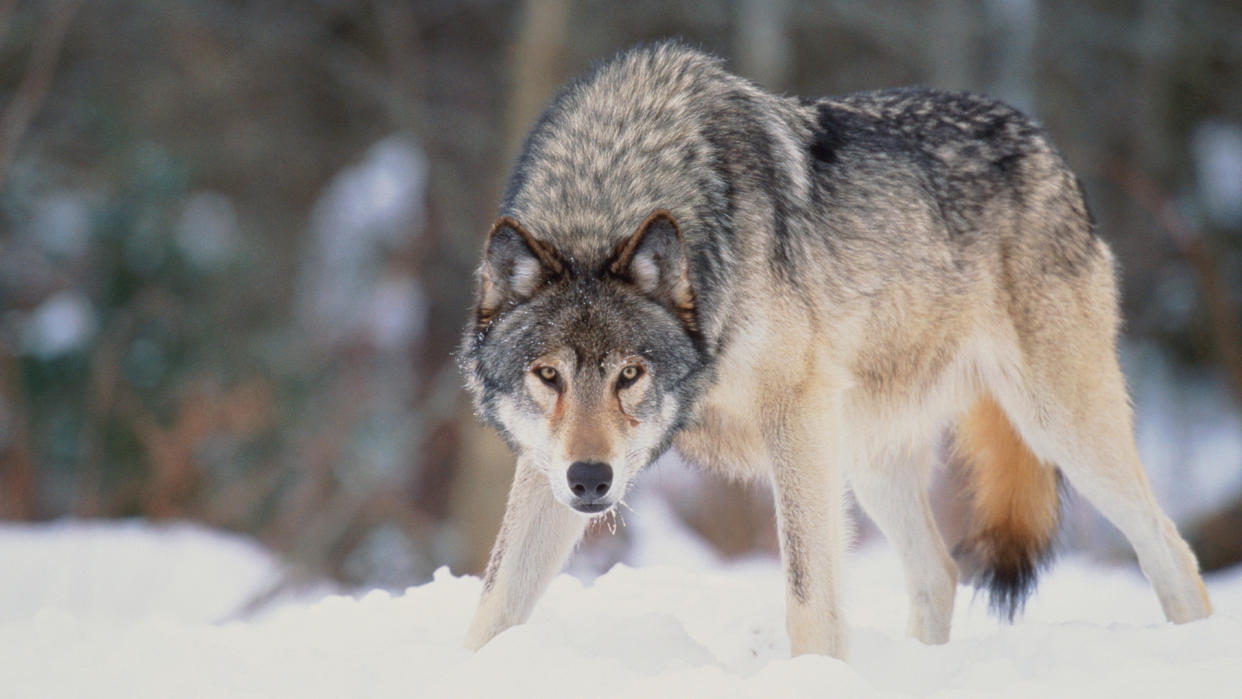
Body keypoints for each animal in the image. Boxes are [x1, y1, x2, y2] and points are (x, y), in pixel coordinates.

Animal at [459, 42, 1212, 655]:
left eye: (630, 374)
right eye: (548, 375)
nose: (591, 479)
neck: (612, 187)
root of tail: (1044, 140)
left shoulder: (794, 416)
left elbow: (807, 596)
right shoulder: (546, 464)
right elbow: (494, 602)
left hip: (1059, 428)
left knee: (1173, 551)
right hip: (868, 456)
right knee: (940, 574)